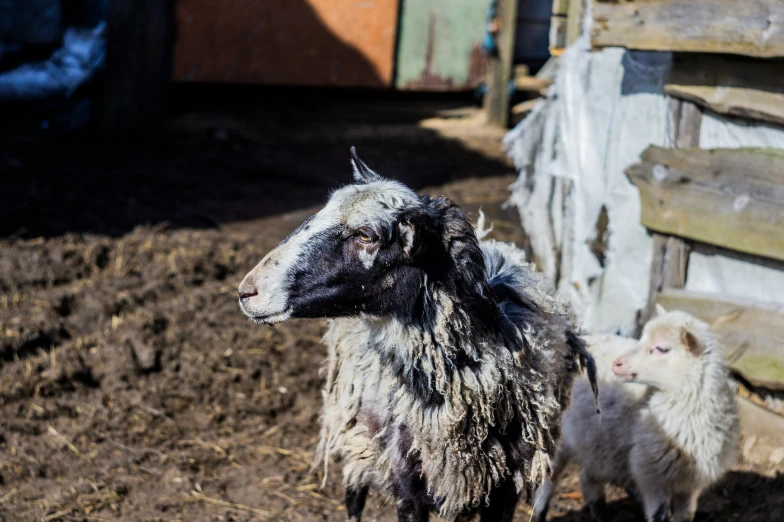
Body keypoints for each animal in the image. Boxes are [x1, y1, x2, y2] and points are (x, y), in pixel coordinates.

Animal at [236, 147, 596, 520]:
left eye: (366, 235)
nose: (247, 291)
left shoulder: (504, 489)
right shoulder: (407, 484)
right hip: (355, 429)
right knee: (354, 495)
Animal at [532, 306, 740, 520]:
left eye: (661, 348)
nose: (617, 364)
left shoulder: (690, 485)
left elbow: (685, 516)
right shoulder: (651, 476)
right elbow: (659, 515)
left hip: (596, 444)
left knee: (588, 476)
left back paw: (599, 510)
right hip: (555, 436)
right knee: (547, 481)